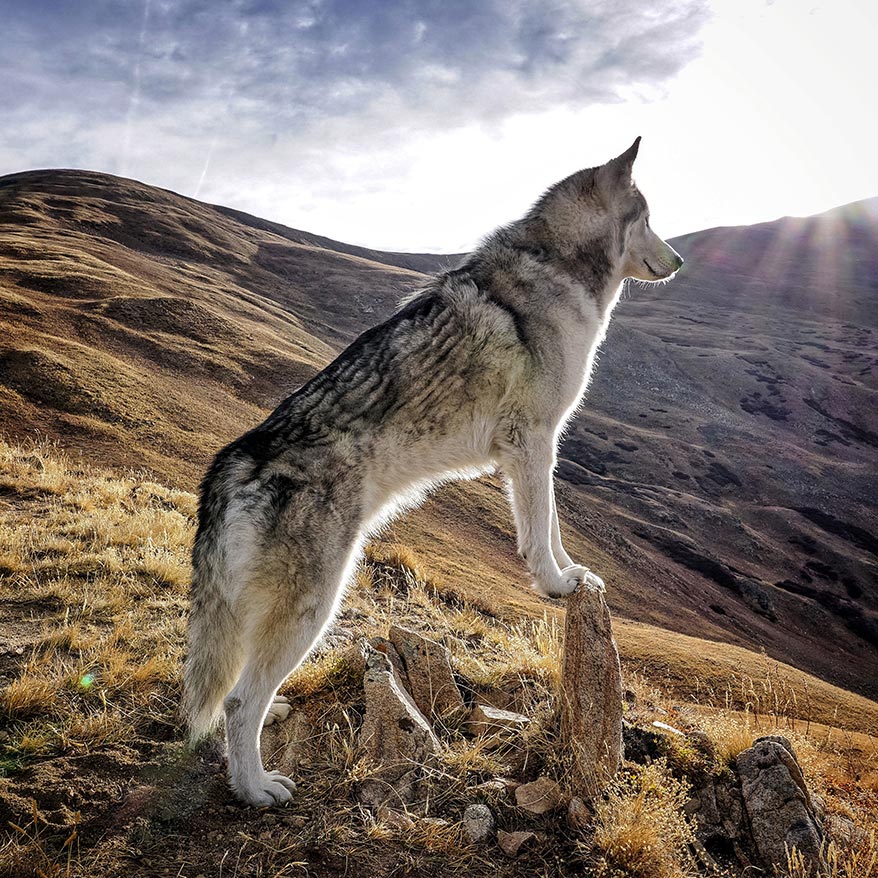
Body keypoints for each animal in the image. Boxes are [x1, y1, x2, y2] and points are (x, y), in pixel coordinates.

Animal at [182, 136, 684, 804]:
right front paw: (555, 583)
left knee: (237, 692)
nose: (680, 260)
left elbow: (550, 527)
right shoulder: (533, 440)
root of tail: (229, 464)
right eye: (650, 217)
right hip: (314, 606)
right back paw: (256, 788)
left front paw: (571, 574)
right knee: (240, 702)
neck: (556, 266)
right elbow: (540, 529)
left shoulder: (539, 444)